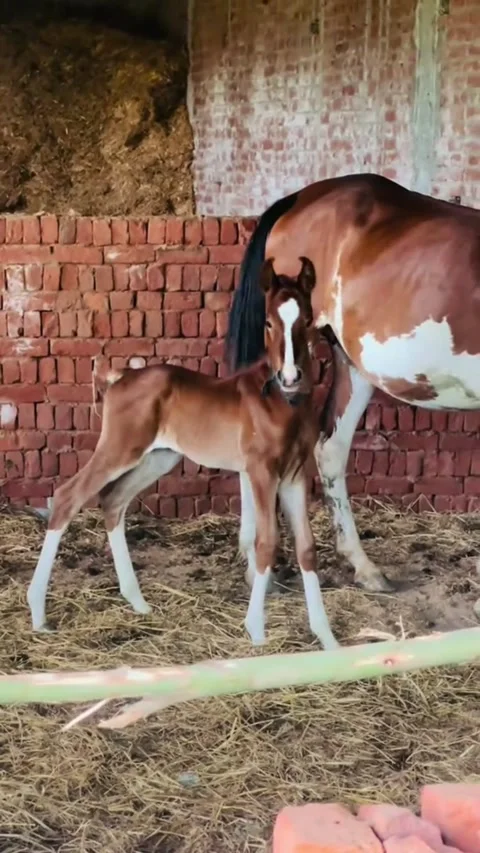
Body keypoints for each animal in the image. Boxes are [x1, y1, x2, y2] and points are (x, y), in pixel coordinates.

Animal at [27, 257, 339, 650]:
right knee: (68, 497)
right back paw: (38, 613)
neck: (282, 403)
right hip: (120, 449)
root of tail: (118, 379)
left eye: (307, 320)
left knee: (113, 501)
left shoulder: (296, 474)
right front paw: (256, 631)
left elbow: (307, 548)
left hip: (158, 457)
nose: (290, 376)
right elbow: (266, 542)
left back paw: (138, 602)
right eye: (268, 322)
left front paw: (328, 639)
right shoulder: (261, 472)